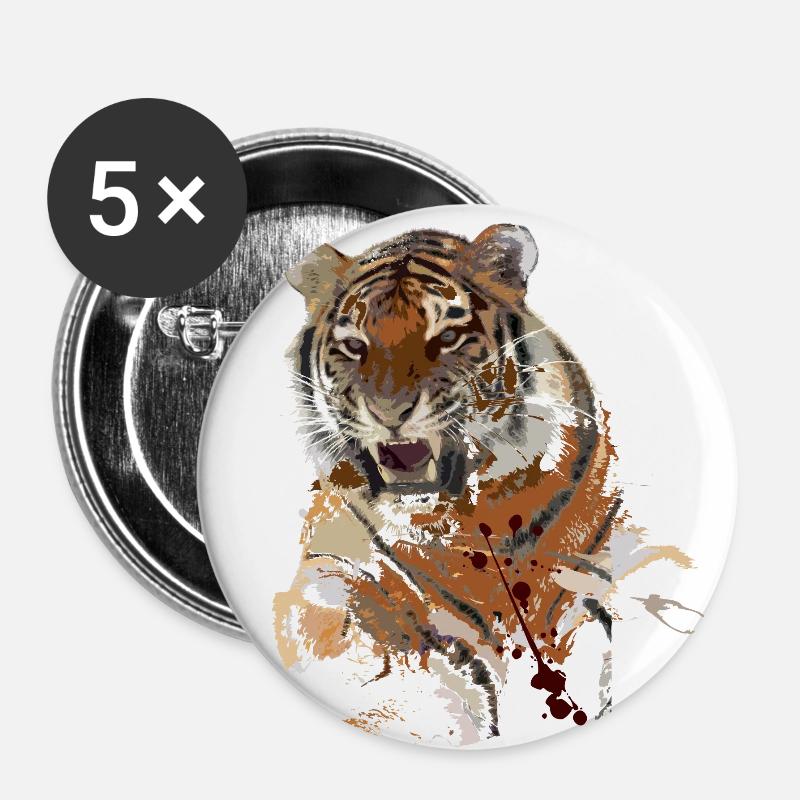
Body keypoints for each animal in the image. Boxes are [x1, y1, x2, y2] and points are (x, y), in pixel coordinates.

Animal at [273, 223, 687, 746]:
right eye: (354, 346)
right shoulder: (336, 567)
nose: (389, 414)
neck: (466, 524)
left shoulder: (604, 565)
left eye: (448, 337)